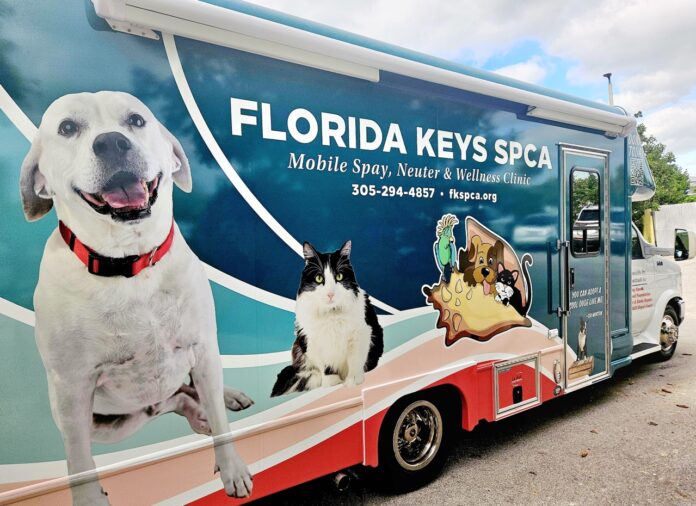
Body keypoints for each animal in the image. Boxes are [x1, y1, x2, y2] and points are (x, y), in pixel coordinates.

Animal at [21, 93, 256, 504]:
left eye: (136, 120)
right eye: (67, 127)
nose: (112, 142)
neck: (129, 263)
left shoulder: (202, 344)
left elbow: (222, 420)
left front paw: (233, 468)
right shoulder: (70, 388)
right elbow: (79, 462)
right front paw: (88, 499)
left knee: (195, 391)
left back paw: (222, 401)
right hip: (105, 423)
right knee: (176, 400)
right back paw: (197, 415)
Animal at [270, 239, 384, 398]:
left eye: (339, 277)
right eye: (319, 278)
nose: (330, 294)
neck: (331, 314)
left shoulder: (360, 334)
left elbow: (355, 360)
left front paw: (354, 380)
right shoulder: (313, 341)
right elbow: (325, 364)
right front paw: (332, 382)